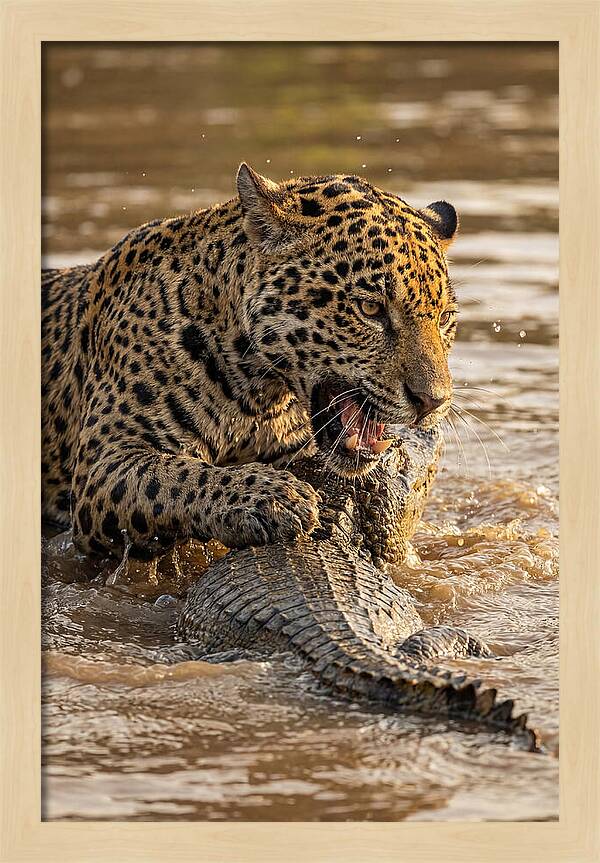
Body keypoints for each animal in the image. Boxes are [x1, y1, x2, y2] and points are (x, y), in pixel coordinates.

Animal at [41, 163, 459, 559]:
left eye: (444, 318)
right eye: (370, 309)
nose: (432, 402)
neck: (257, 394)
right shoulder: (104, 462)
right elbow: (174, 475)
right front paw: (271, 498)